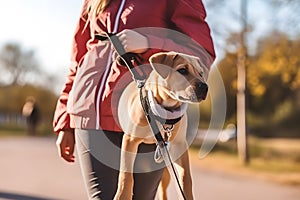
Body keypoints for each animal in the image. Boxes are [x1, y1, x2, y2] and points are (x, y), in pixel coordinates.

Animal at [114, 52, 209, 200]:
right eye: (182, 70)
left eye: (201, 73)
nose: (204, 87)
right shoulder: (130, 140)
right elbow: (126, 175)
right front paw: (123, 195)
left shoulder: (179, 145)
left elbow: (185, 178)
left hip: (165, 172)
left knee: (163, 191)